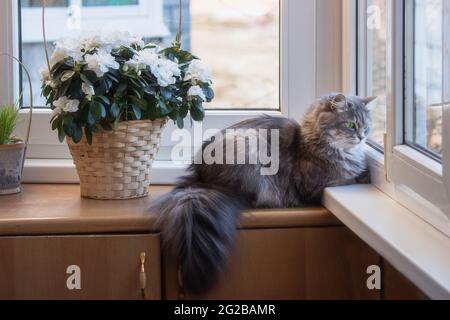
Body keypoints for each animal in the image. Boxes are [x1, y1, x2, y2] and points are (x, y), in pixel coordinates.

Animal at [151, 93, 376, 296]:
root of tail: (202, 178)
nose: (363, 136)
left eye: (366, 126)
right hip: (249, 144)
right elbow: (349, 176)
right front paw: (363, 174)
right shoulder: (316, 184)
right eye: (351, 125)